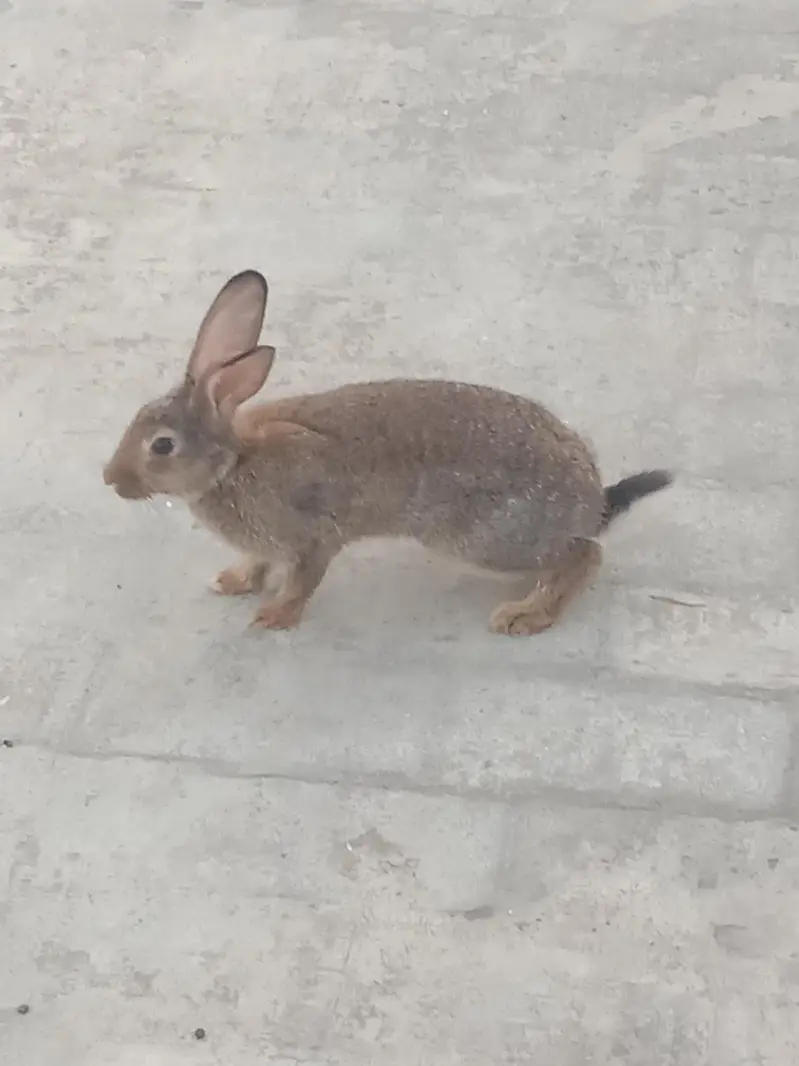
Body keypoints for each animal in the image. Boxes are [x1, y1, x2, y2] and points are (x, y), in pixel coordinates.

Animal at [103, 269, 672, 635]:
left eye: (162, 445)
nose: (111, 479)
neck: (232, 462)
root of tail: (590, 499)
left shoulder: (312, 536)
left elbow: (304, 581)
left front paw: (273, 617)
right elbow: (259, 564)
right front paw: (234, 581)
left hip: (491, 538)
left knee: (585, 555)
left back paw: (523, 615)